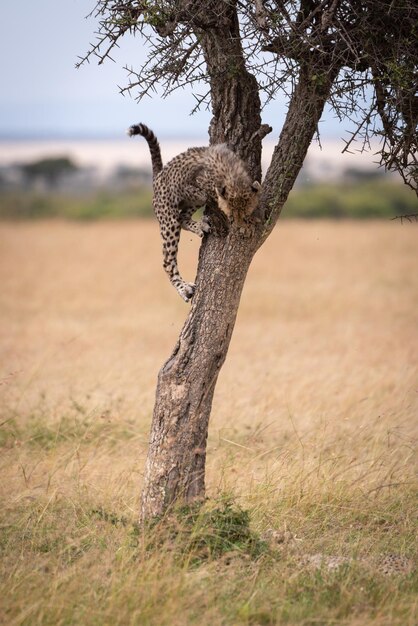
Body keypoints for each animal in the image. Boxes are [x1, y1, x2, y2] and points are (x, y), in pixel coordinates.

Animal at [127, 122, 260, 302]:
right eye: (231, 217)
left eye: (244, 215)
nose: (239, 226)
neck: (233, 177)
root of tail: (158, 176)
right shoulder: (195, 184)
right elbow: (203, 194)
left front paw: (250, 223)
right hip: (168, 220)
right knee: (168, 260)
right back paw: (184, 289)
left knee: (183, 217)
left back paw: (200, 226)